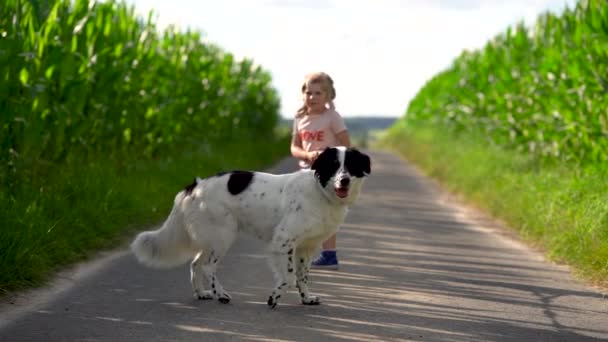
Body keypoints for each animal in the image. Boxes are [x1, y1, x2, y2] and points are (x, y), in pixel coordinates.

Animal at [131, 146, 370, 308]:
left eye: (351, 166)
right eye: (333, 166)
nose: (344, 180)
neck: (320, 191)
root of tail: (195, 185)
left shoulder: (306, 247)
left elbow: (302, 276)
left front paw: (307, 298)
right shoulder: (283, 240)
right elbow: (289, 277)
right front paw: (274, 298)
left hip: (211, 238)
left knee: (195, 263)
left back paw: (202, 293)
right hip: (223, 236)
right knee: (207, 266)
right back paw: (221, 295)